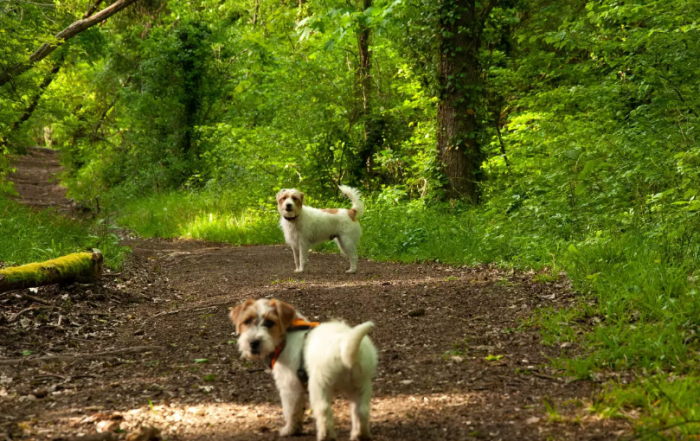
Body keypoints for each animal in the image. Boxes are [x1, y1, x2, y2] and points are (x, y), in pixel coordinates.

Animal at [230, 298, 378, 438]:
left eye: (270, 323)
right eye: (247, 321)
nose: (253, 343)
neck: (285, 337)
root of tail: (344, 345)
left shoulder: (289, 387)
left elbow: (291, 411)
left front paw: (289, 430)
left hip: (319, 387)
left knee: (324, 410)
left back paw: (325, 435)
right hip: (361, 387)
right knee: (362, 410)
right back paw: (359, 435)